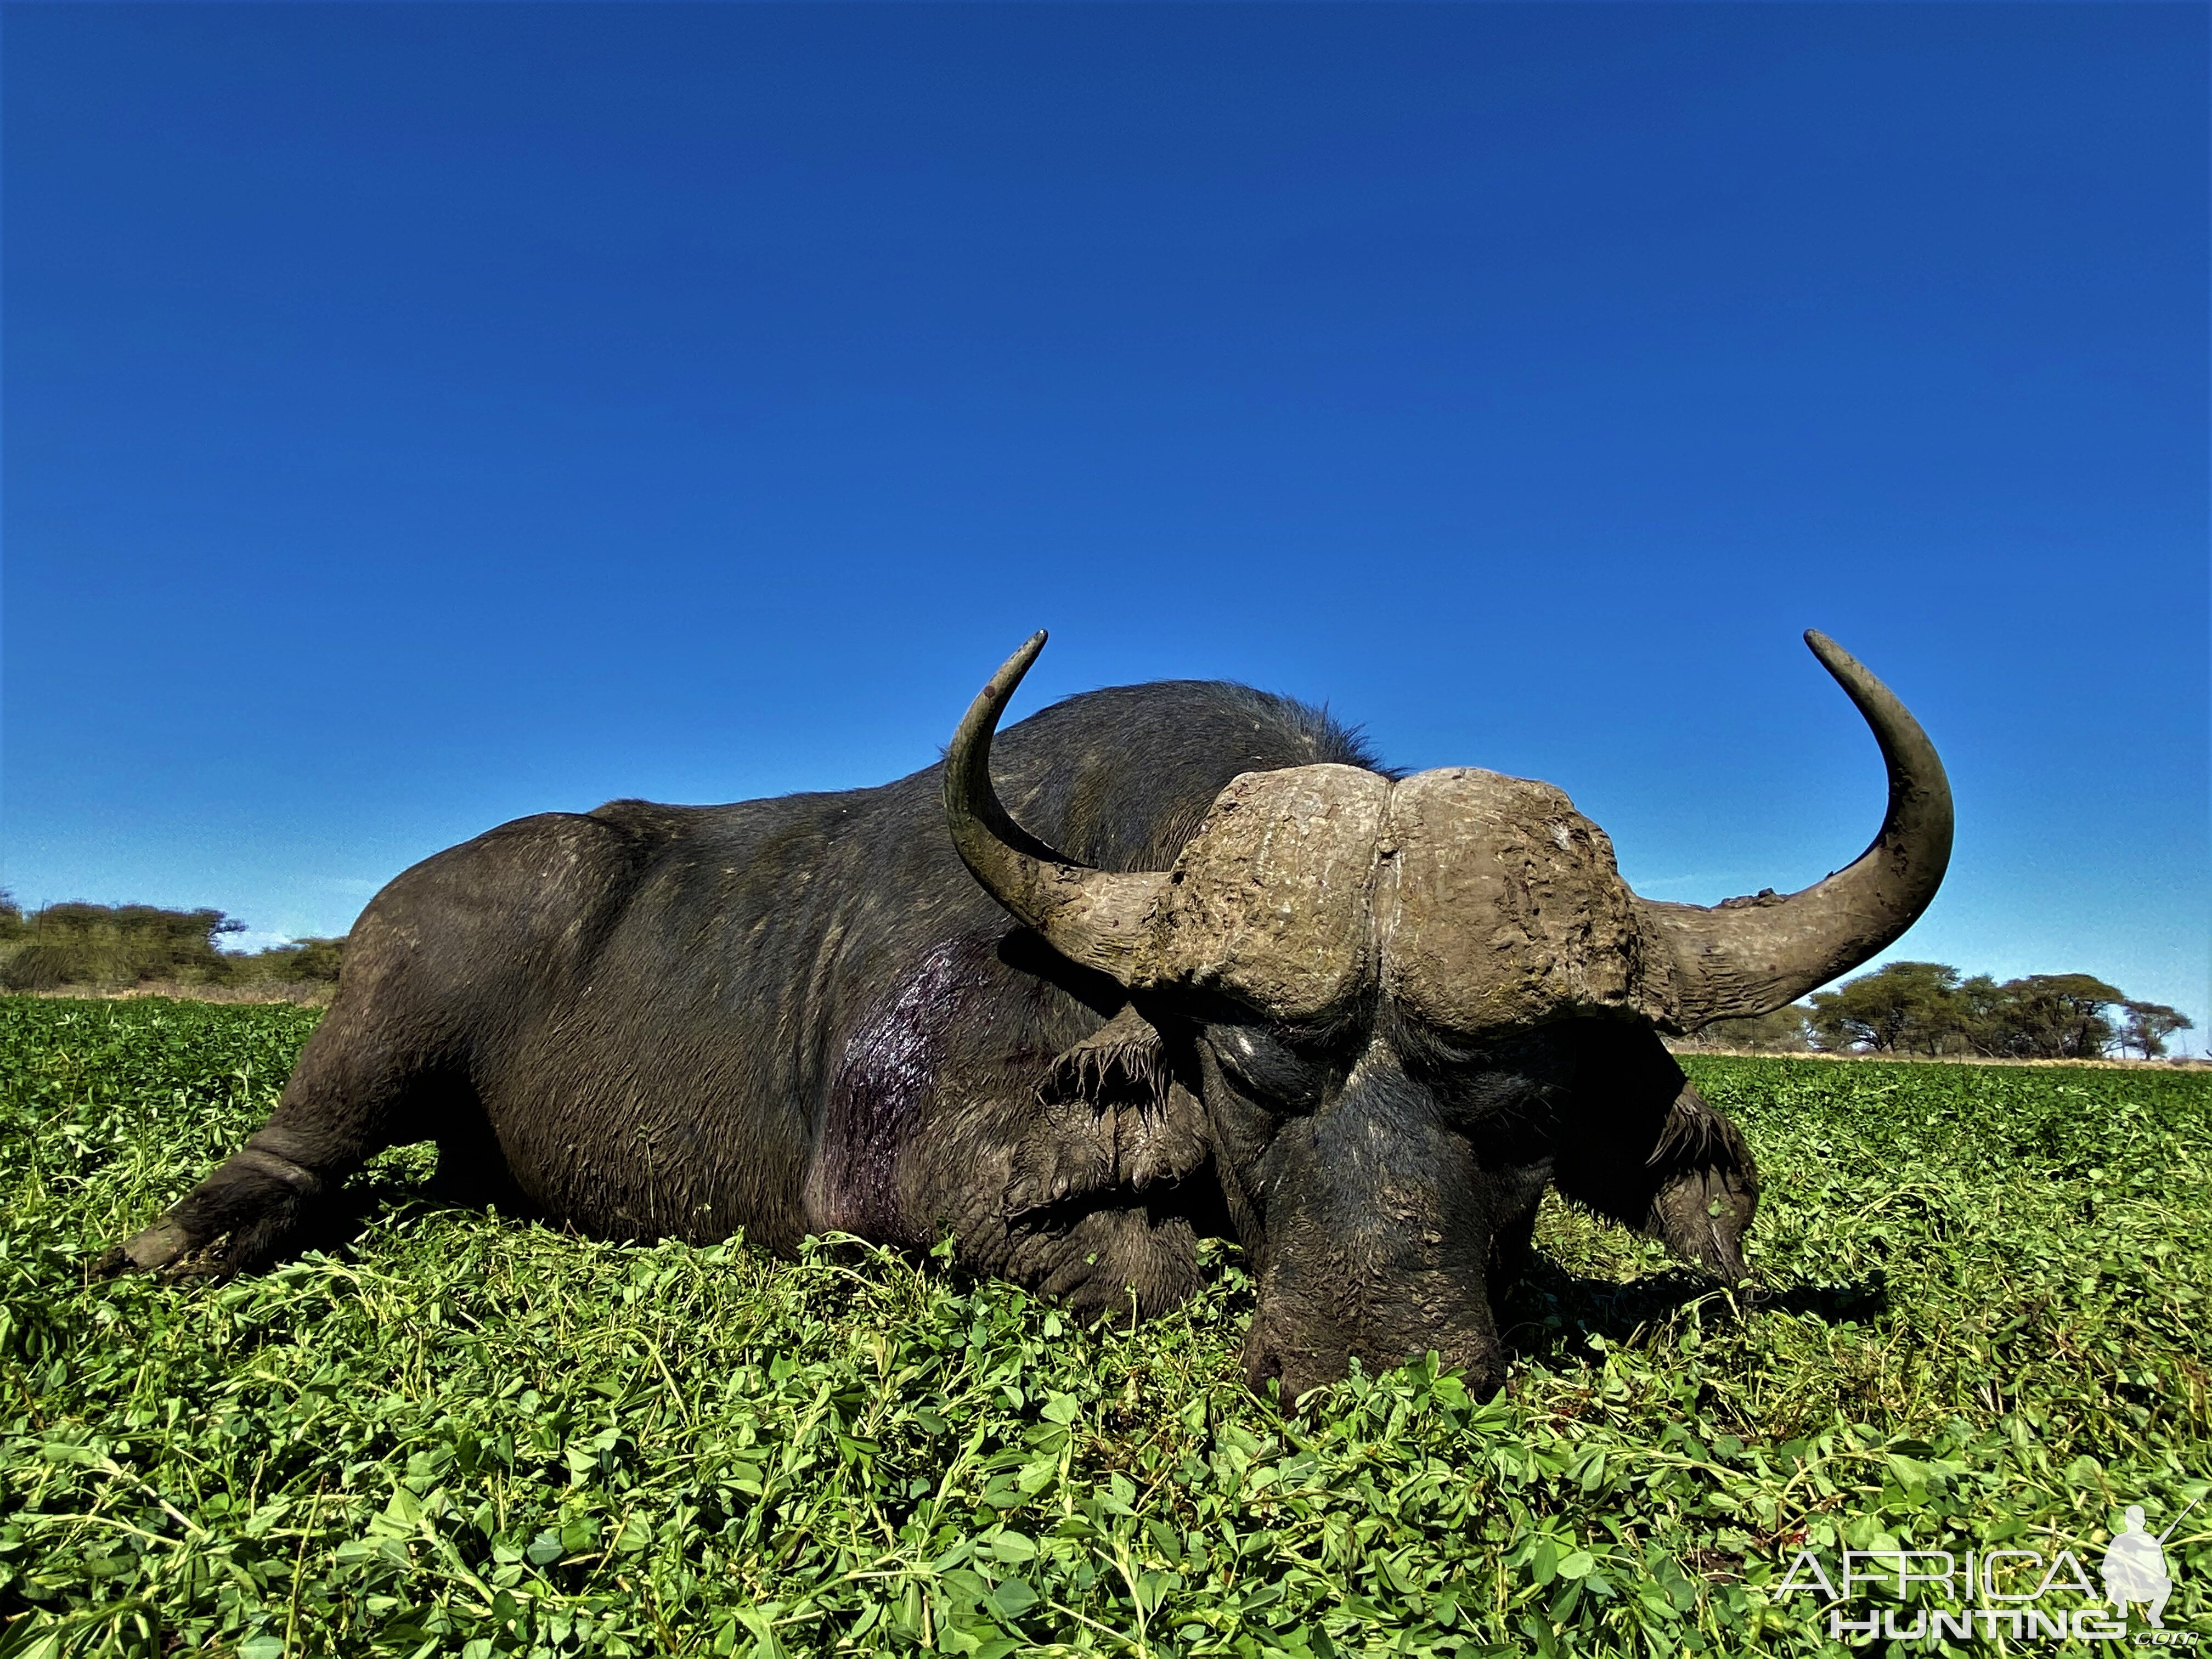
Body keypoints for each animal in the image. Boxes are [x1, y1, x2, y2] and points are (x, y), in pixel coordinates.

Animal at [116, 633, 1955, 1407]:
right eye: (1245, 1075)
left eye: (1519, 1105)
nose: (1366, 1362)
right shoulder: (896, 1176)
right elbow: (1147, 1271)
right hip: (393, 1006)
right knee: (293, 1149)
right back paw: (191, 1240)